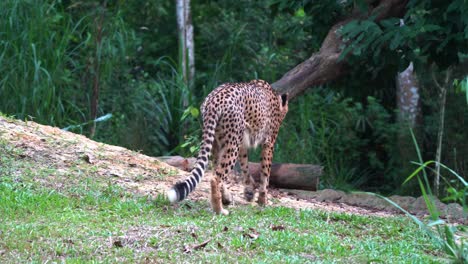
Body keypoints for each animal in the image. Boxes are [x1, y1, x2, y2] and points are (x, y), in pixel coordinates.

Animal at [166, 79, 288, 214]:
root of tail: (214, 99)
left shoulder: (243, 144)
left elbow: (245, 166)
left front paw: (249, 191)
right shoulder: (268, 143)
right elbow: (265, 172)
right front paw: (263, 200)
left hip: (218, 142)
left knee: (216, 170)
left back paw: (225, 198)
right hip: (232, 144)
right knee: (216, 177)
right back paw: (219, 210)